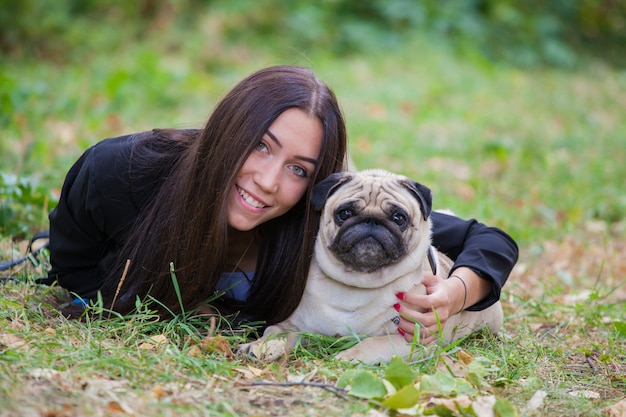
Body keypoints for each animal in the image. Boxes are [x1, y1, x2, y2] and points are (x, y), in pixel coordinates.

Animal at [238, 167, 502, 362]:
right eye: (344, 213)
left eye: (399, 218)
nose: (371, 222)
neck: (357, 284)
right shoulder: (293, 325)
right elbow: (275, 333)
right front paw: (258, 346)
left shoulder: (411, 340)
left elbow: (371, 343)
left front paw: (348, 356)